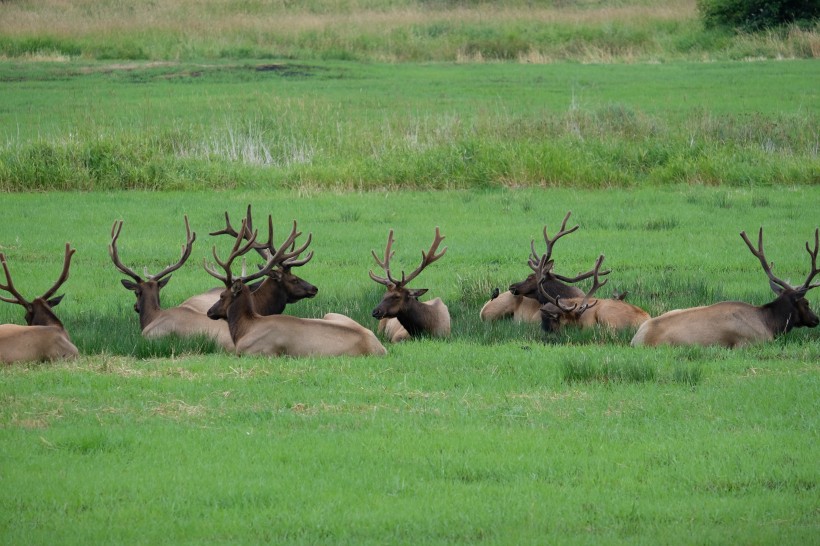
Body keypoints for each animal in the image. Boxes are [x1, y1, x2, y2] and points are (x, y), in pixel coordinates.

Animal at [203, 217, 386, 356]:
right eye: (295, 279)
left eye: (222, 295)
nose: (209, 311)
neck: (244, 329)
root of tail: (380, 348)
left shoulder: (257, 352)